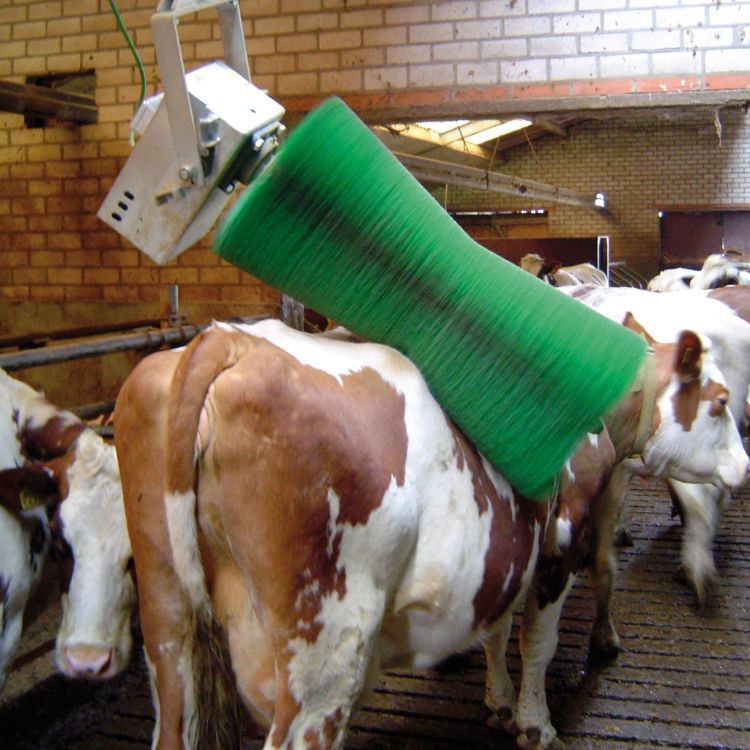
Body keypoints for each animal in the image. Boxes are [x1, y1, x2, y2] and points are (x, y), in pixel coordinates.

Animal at [113, 315, 748, 750]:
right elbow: (537, 643)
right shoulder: (560, 545)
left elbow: (496, 629)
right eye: (720, 403)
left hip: (168, 623)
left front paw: (498, 702)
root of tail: (233, 341)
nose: (745, 467)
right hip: (325, 648)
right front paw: (535, 724)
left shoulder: (506, 547)